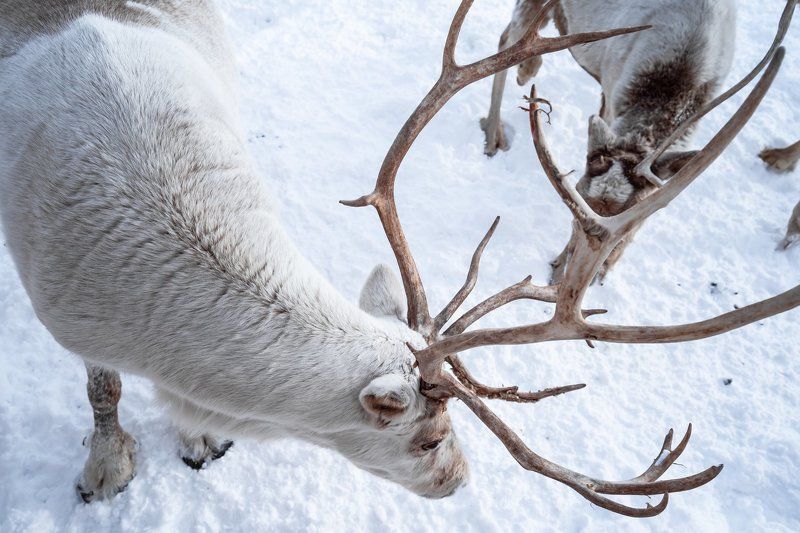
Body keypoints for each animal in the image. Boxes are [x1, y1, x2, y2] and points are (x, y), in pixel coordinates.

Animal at [481, 0, 739, 284]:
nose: (562, 274)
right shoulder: (612, 94)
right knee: (507, 39)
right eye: (577, 210)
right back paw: (497, 128)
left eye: (627, 227)